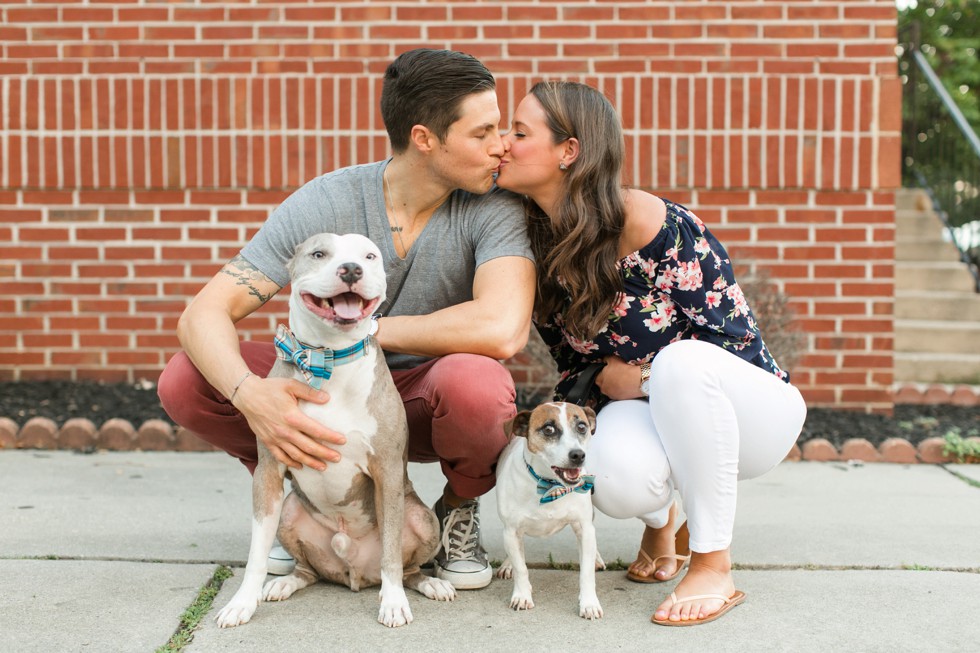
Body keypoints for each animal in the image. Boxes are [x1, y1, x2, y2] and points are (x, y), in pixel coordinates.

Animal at [214, 233, 456, 628]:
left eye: (369, 256)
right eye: (318, 254)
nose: (351, 269)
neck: (329, 359)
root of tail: (355, 573)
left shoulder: (388, 471)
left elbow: (391, 551)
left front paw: (393, 603)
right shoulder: (268, 472)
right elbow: (256, 553)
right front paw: (242, 603)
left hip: (422, 519)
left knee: (408, 568)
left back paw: (429, 584)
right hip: (289, 511)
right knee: (307, 570)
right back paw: (285, 583)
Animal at [498, 400, 604, 620]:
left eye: (582, 427)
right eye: (549, 429)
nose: (578, 455)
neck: (551, 486)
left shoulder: (584, 528)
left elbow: (586, 572)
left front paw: (589, 603)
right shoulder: (511, 531)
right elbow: (521, 568)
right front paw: (522, 595)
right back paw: (507, 563)